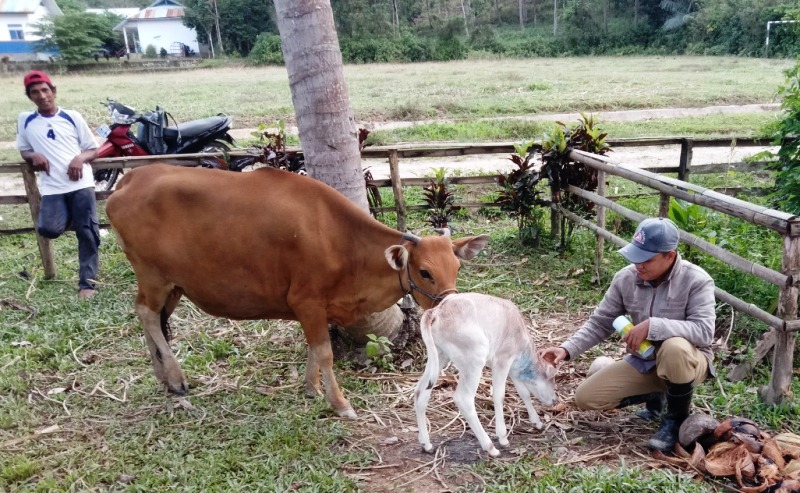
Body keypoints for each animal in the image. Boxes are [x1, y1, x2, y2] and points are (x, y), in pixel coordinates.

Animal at [106, 163, 488, 418]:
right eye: (425, 272)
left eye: (456, 267)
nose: (452, 305)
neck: (339, 240)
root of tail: (131, 177)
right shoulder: (307, 301)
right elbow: (325, 352)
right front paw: (339, 403)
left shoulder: (314, 306)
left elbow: (313, 349)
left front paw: (312, 388)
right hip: (154, 277)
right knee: (147, 314)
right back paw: (175, 377)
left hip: (174, 285)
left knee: (151, 316)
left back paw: (163, 375)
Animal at [412, 292, 556, 458]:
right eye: (552, 377)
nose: (555, 400)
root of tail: (437, 311)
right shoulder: (502, 359)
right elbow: (499, 395)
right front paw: (503, 437)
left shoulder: (512, 368)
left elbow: (523, 392)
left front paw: (537, 422)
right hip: (474, 358)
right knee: (463, 399)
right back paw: (490, 447)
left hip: (439, 355)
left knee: (421, 391)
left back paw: (427, 444)